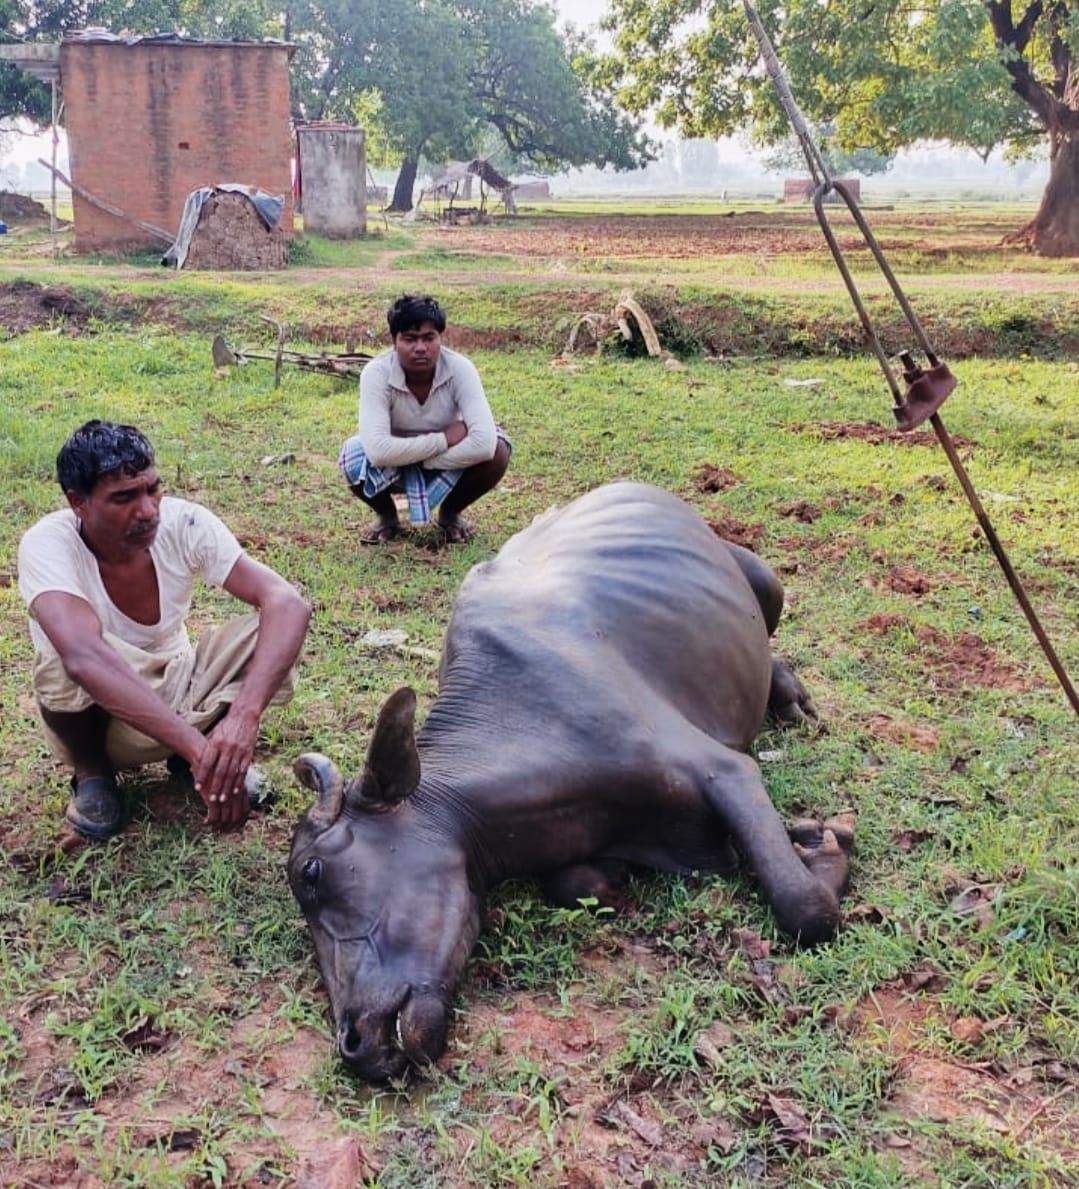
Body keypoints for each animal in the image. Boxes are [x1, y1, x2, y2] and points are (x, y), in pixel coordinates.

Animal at [286, 480, 851, 1079]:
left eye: (313, 873)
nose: (353, 1041)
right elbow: (577, 884)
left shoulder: (725, 770)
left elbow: (806, 908)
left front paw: (822, 849)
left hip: (766, 580)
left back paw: (790, 693)